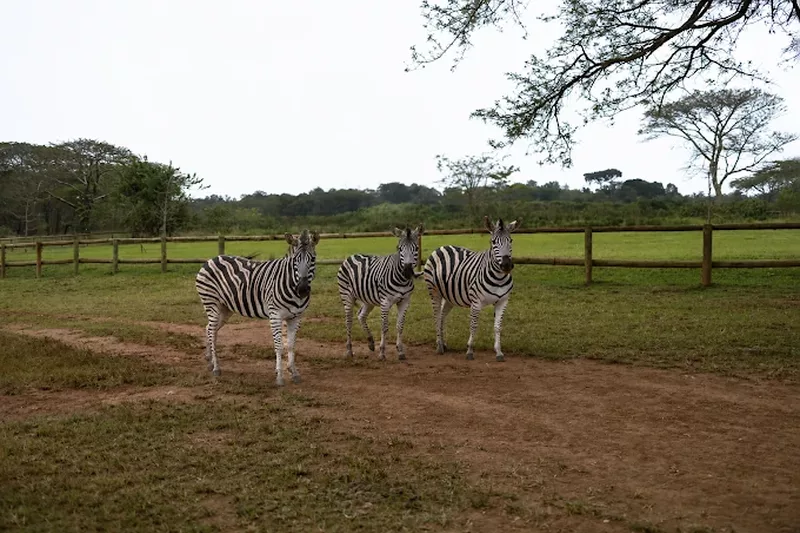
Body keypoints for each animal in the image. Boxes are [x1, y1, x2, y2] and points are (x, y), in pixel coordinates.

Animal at [195, 229, 320, 386]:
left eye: (313, 259)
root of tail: (211, 259)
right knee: (211, 331)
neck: (289, 282)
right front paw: (280, 377)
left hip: (225, 308)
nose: (302, 290)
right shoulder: (275, 316)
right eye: (294, 261)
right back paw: (216, 368)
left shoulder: (296, 317)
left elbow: (291, 345)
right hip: (211, 303)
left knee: (209, 329)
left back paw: (210, 361)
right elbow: (279, 345)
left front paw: (294, 372)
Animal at [337, 224, 424, 360]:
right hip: (347, 296)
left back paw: (370, 342)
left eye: (417, 248)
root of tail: (351, 256)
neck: (402, 279)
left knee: (361, 315)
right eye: (399, 248)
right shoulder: (385, 302)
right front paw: (382, 352)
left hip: (368, 300)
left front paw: (400, 351)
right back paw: (349, 350)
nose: (407, 271)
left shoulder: (405, 301)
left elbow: (400, 326)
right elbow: (384, 326)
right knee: (349, 321)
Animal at [423, 216, 521, 362]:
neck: (498, 278)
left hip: (450, 296)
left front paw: (499, 352)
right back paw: (439, 347)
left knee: (442, 317)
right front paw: (469, 351)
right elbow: (473, 325)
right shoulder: (476, 301)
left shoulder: (503, 302)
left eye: (511, 241)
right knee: (436, 316)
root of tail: (442, 247)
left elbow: (497, 327)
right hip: (434, 291)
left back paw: (443, 344)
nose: (506, 265)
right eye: (493, 242)